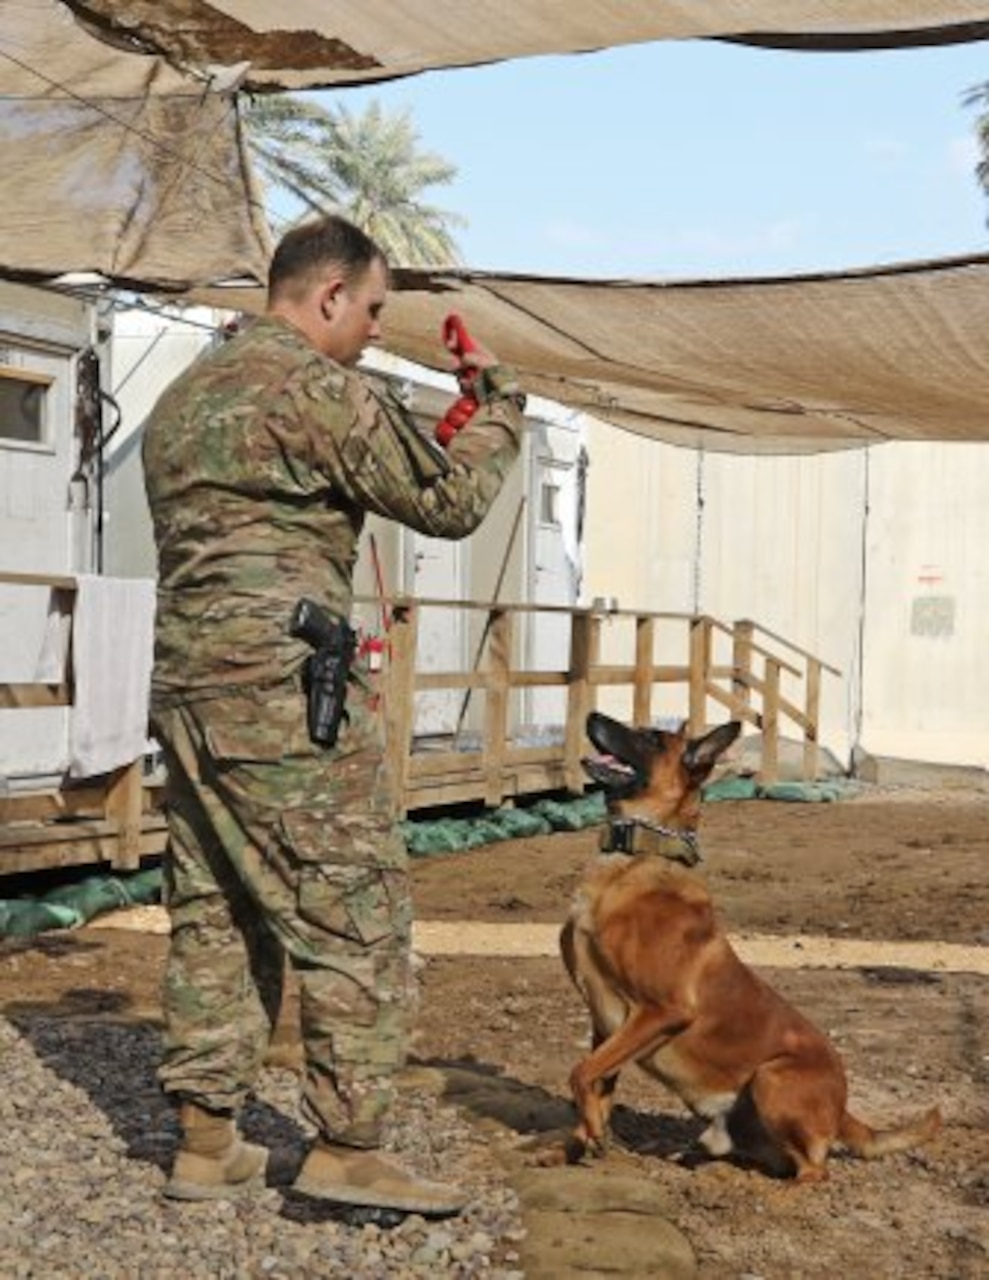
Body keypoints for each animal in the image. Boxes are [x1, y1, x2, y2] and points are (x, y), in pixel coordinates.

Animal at [560, 711, 936, 1177]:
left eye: (652, 739)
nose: (591, 715)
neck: (634, 863)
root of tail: (843, 1108)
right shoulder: (605, 1020)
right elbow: (596, 1081)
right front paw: (579, 1143)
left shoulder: (662, 1010)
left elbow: (580, 1072)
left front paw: (593, 1133)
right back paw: (690, 1156)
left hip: (770, 1076)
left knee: (813, 1169)